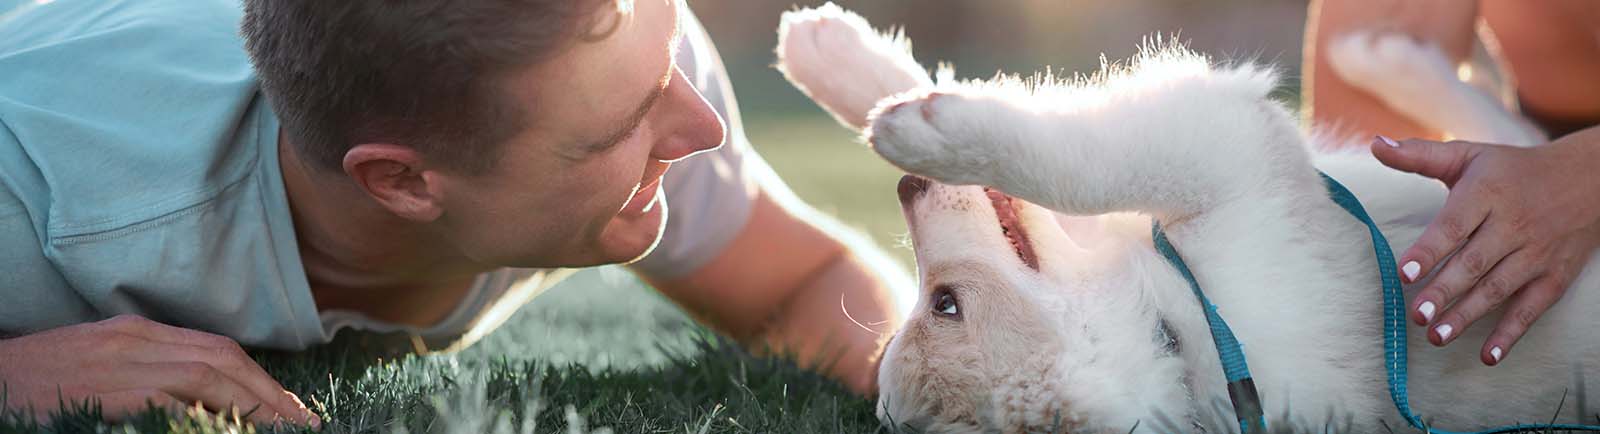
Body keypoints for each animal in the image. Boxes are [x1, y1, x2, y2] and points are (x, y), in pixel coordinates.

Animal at [771, 4, 1587, 434]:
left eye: (943, 306)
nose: (907, 187)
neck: (1183, 316)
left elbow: (1055, 151)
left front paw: (849, 73)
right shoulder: (1229, 154)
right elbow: (1070, 158)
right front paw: (898, 115)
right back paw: (1389, 56)